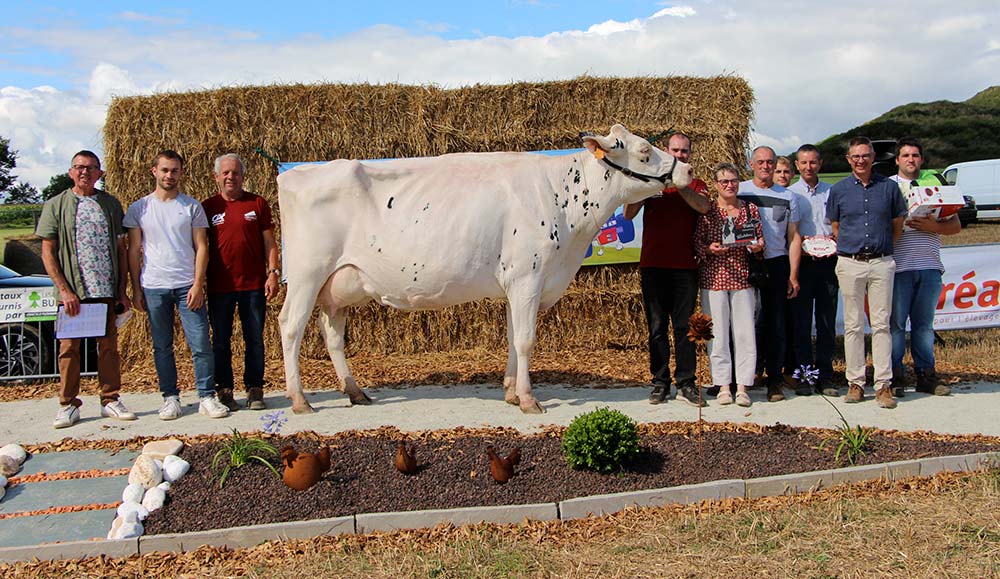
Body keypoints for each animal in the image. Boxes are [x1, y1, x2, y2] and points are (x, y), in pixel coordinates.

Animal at [278, 124, 692, 414]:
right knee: (290, 326)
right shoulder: (527, 277)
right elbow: (525, 340)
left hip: (338, 285)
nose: (687, 168)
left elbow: (511, 338)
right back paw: (300, 400)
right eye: (644, 151)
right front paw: (528, 399)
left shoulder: (518, 284)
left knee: (332, 333)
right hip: (305, 275)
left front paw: (510, 391)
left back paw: (355, 392)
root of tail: (294, 173)